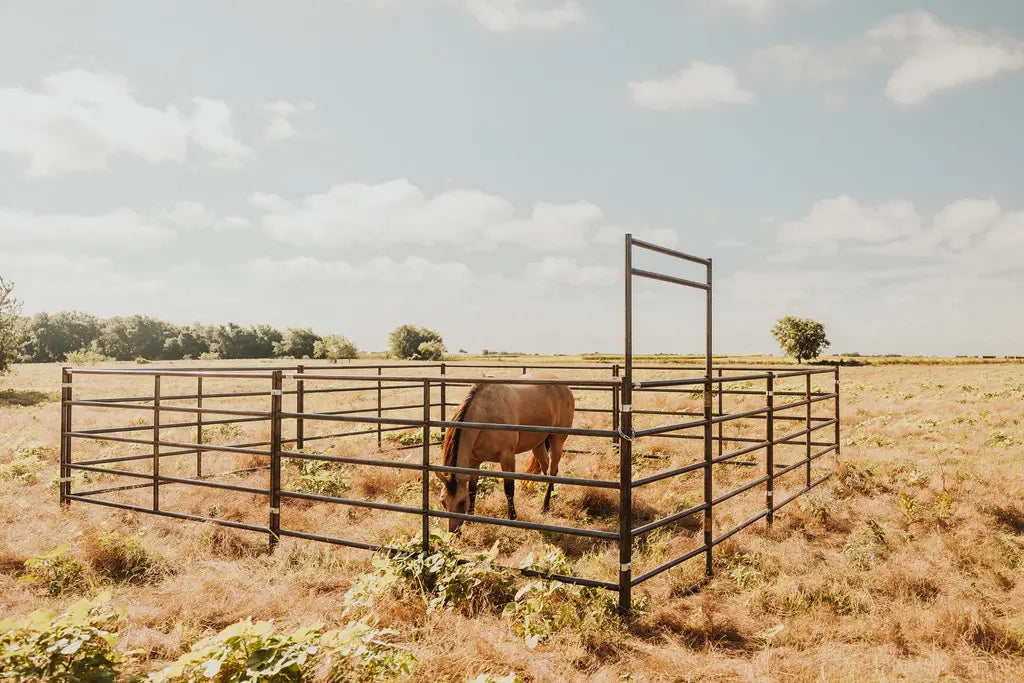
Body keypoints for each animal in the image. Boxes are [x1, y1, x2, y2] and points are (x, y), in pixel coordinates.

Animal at [438, 374, 577, 532]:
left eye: (461, 502)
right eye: (443, 501)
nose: (454, 532)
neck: (485, 415)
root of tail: (564, 387)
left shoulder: (507, 457)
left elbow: (509, 489)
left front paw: (512, 518)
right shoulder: (474, 461)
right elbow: (473, 489)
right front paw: (471, 519)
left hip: (557, 441)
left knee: (553, 471)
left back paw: (545, 506)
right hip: (538, 444)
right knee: (546, 468)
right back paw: (551, 495)